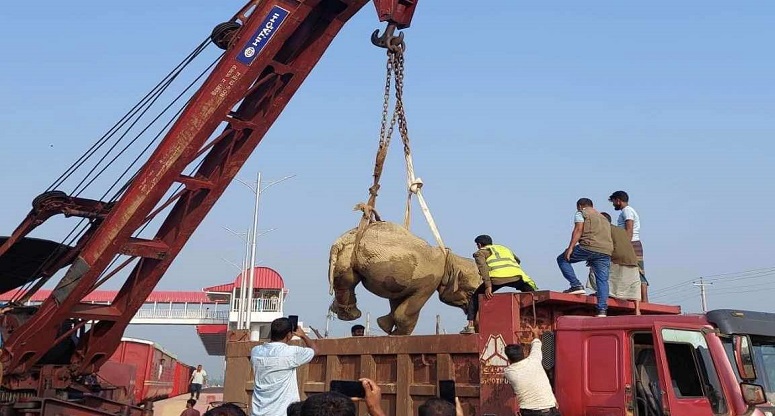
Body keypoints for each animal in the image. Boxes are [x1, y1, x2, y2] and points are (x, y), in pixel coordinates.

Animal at [328, 221, 484, 334]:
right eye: (470, 292)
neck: (449, 260)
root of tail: (342, 240)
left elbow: (396, 299)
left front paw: (385, 327)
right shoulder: (431, 280)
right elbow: (407, 310)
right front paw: (397, 334)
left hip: (346, 256)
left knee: (346, 281)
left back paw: (341, 311)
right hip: (351, 254)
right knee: (349, 281)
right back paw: (351, 315)